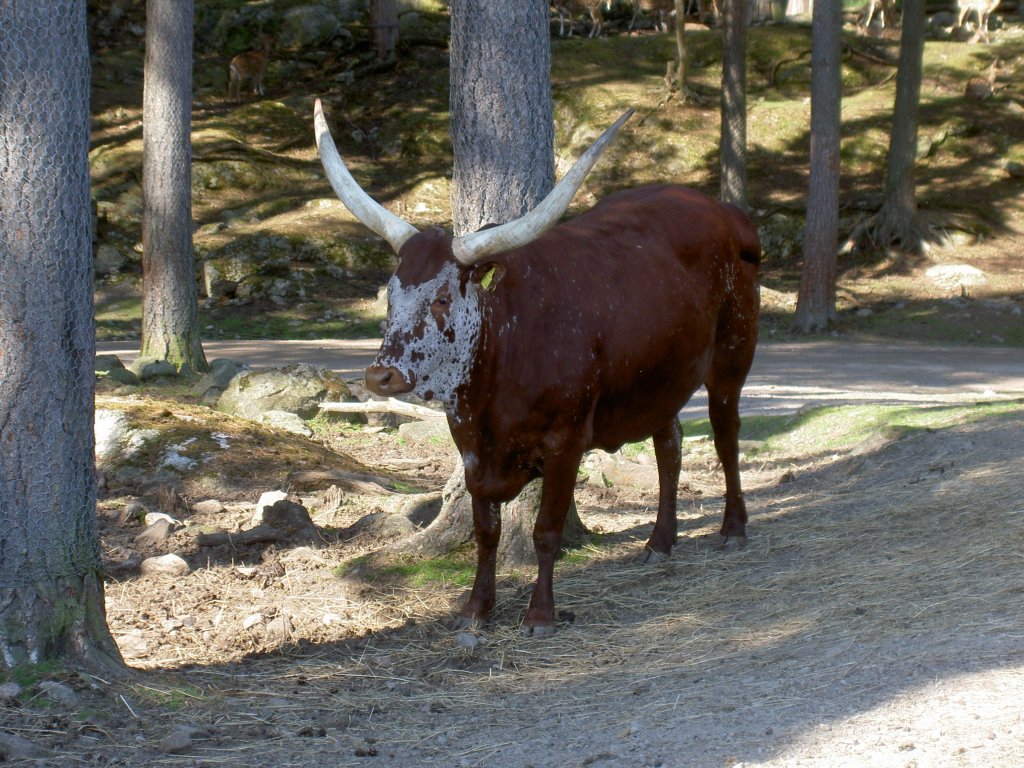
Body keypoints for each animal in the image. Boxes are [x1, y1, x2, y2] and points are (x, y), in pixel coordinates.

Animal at [311, 99, 761, 638]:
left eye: (441, 298)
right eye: (391, 296)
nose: (380, 376)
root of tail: (726, 213)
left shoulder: (566, 442)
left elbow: (546, 530)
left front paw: (540, 613)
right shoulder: (472, 449)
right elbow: (486, 531)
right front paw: (475, 610)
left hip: (732, 355)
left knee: (725, 432)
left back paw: (734, 528)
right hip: (660, 377)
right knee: (668, 446)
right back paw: (660, 541)